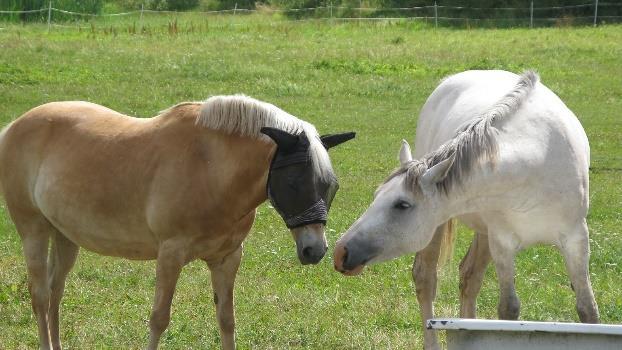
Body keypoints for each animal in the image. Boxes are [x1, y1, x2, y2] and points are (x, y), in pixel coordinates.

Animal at [0, 94, 354, 348]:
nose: (315, 250)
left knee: (55, 293)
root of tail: (14, 126)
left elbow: (227, 319)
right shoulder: (170, 255)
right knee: (40, 295)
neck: (209, 167)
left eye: (331, 186)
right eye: (294, 182)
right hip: (33, 231)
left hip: (64, 236)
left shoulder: (227, 259)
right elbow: (159, 318)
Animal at [334, 70, 604, 350]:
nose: (340, 251)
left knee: (469, 277)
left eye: (402, 205)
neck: (535, 162)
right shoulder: (502, 243)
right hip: (446, 229)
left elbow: (588, 309)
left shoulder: (576, 238)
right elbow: (508, 309)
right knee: (426, 278)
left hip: (483, 233)